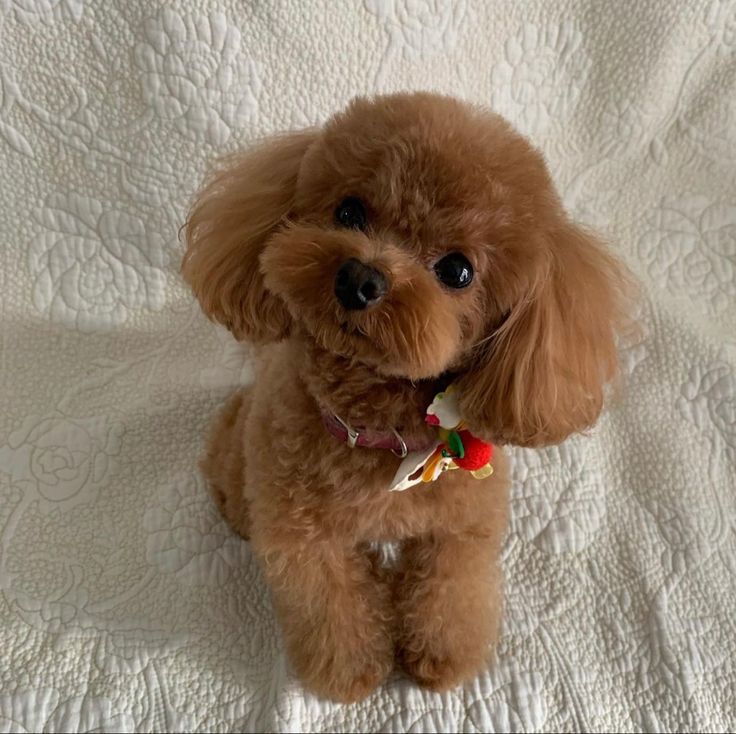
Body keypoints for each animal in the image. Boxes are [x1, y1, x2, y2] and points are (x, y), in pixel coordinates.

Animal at [181, 93, 628, 708]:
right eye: (348, 212)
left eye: (457, 270)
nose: (359, 278)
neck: (378, 434)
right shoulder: (306, 538)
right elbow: (333, 606)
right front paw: (350, 672)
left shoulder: (460, 529)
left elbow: (449, 591)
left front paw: (441, 659)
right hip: (241, 448)